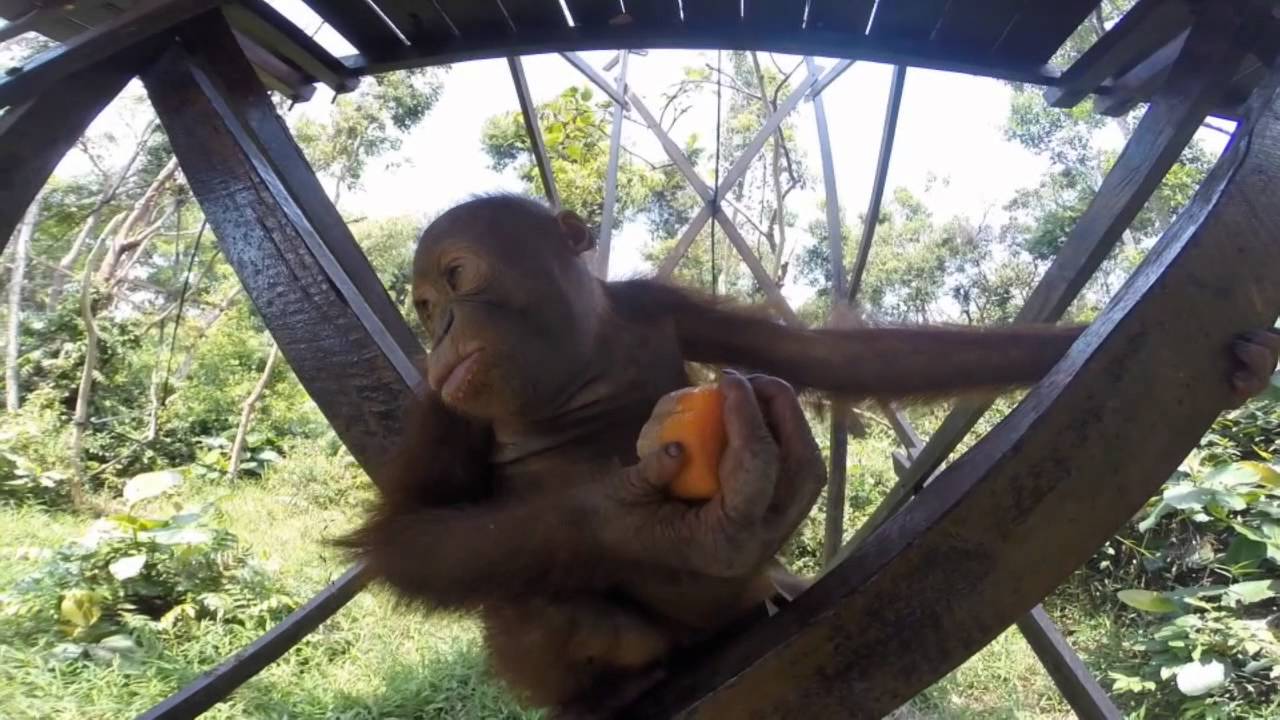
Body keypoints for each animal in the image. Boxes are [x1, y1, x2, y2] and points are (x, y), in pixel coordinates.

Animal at [341, 194, 1280, 717]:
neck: (576, 367)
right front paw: (643, 522)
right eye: (420, 304)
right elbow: (409, 536)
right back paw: (612, 691)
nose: (440, 330)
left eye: (455, 279)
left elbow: (840, 362)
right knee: (529, 602)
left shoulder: (662, 304)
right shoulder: (443, 409)